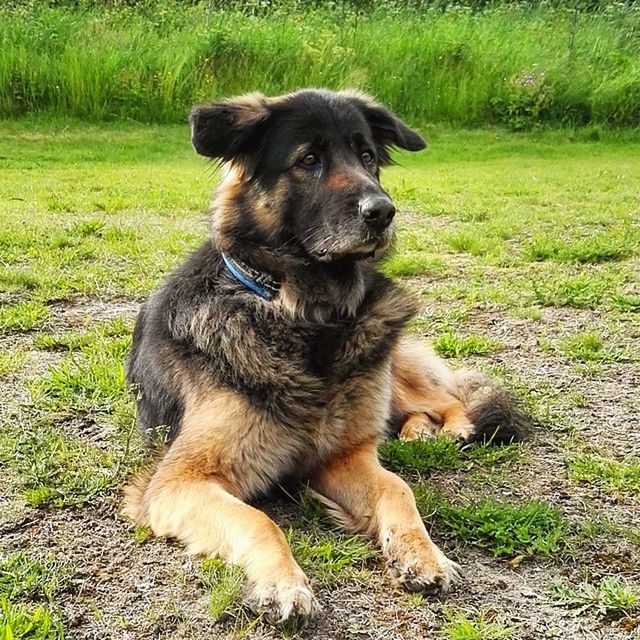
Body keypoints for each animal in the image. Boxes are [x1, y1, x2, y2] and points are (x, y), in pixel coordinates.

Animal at [122, 90, 528, 624]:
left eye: (368, 157)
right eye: (308, 160)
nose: (383, 211)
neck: (303, 317)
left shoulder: (339, 455)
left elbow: (397, 487)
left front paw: (422, 554)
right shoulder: (180, 482)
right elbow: (258, 519)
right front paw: (283, 583)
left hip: (387, 361)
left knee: (448, 398)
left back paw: (450, 428)